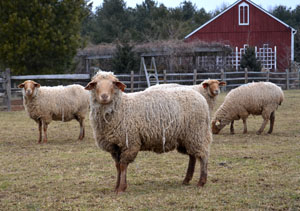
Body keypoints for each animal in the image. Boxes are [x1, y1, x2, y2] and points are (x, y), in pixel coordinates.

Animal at [83, 70, 212, 193]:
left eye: (113, 83)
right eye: (95, 83)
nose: (104, 96)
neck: (121, 107)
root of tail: (200, 96)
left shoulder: (130, 142)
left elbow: (123, 166)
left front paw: (121, 188)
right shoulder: (114, 146)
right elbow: (117, 166)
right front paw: (116, 187)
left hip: (197, 133)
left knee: (203, 155)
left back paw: (201, 181)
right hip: (187, 137)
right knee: (192, 156)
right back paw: (186, 180)